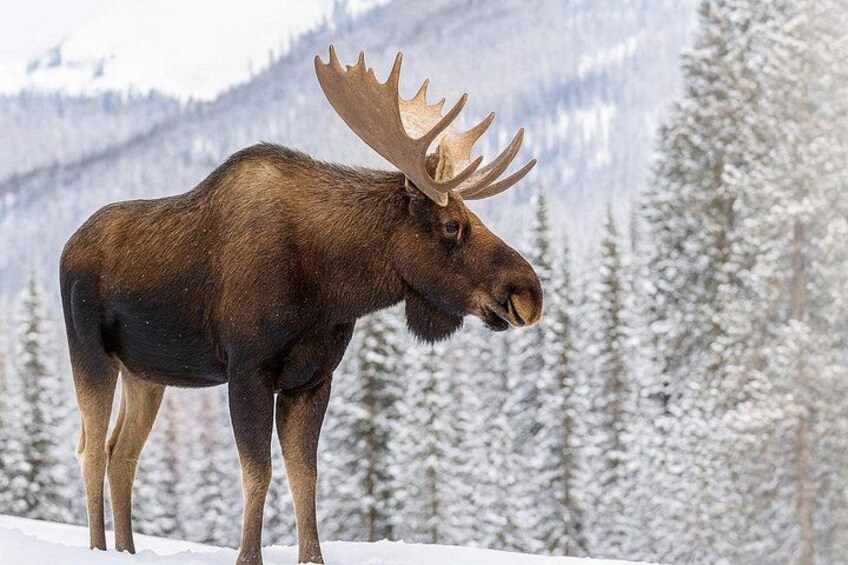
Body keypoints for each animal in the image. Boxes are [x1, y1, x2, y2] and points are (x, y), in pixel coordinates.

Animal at [60, 47, 543, 565]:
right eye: (452, 225)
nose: (529, 292)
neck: (331, 286)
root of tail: (67, 247)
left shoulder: (312, 378)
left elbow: (305, 476)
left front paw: (312, 556)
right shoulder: (249, 369)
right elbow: (259, 472)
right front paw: (247, 557)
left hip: (147, 373)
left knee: (122, 453)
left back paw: (126, 550)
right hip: (90, 351)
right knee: (91, 450)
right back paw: (96, 547)